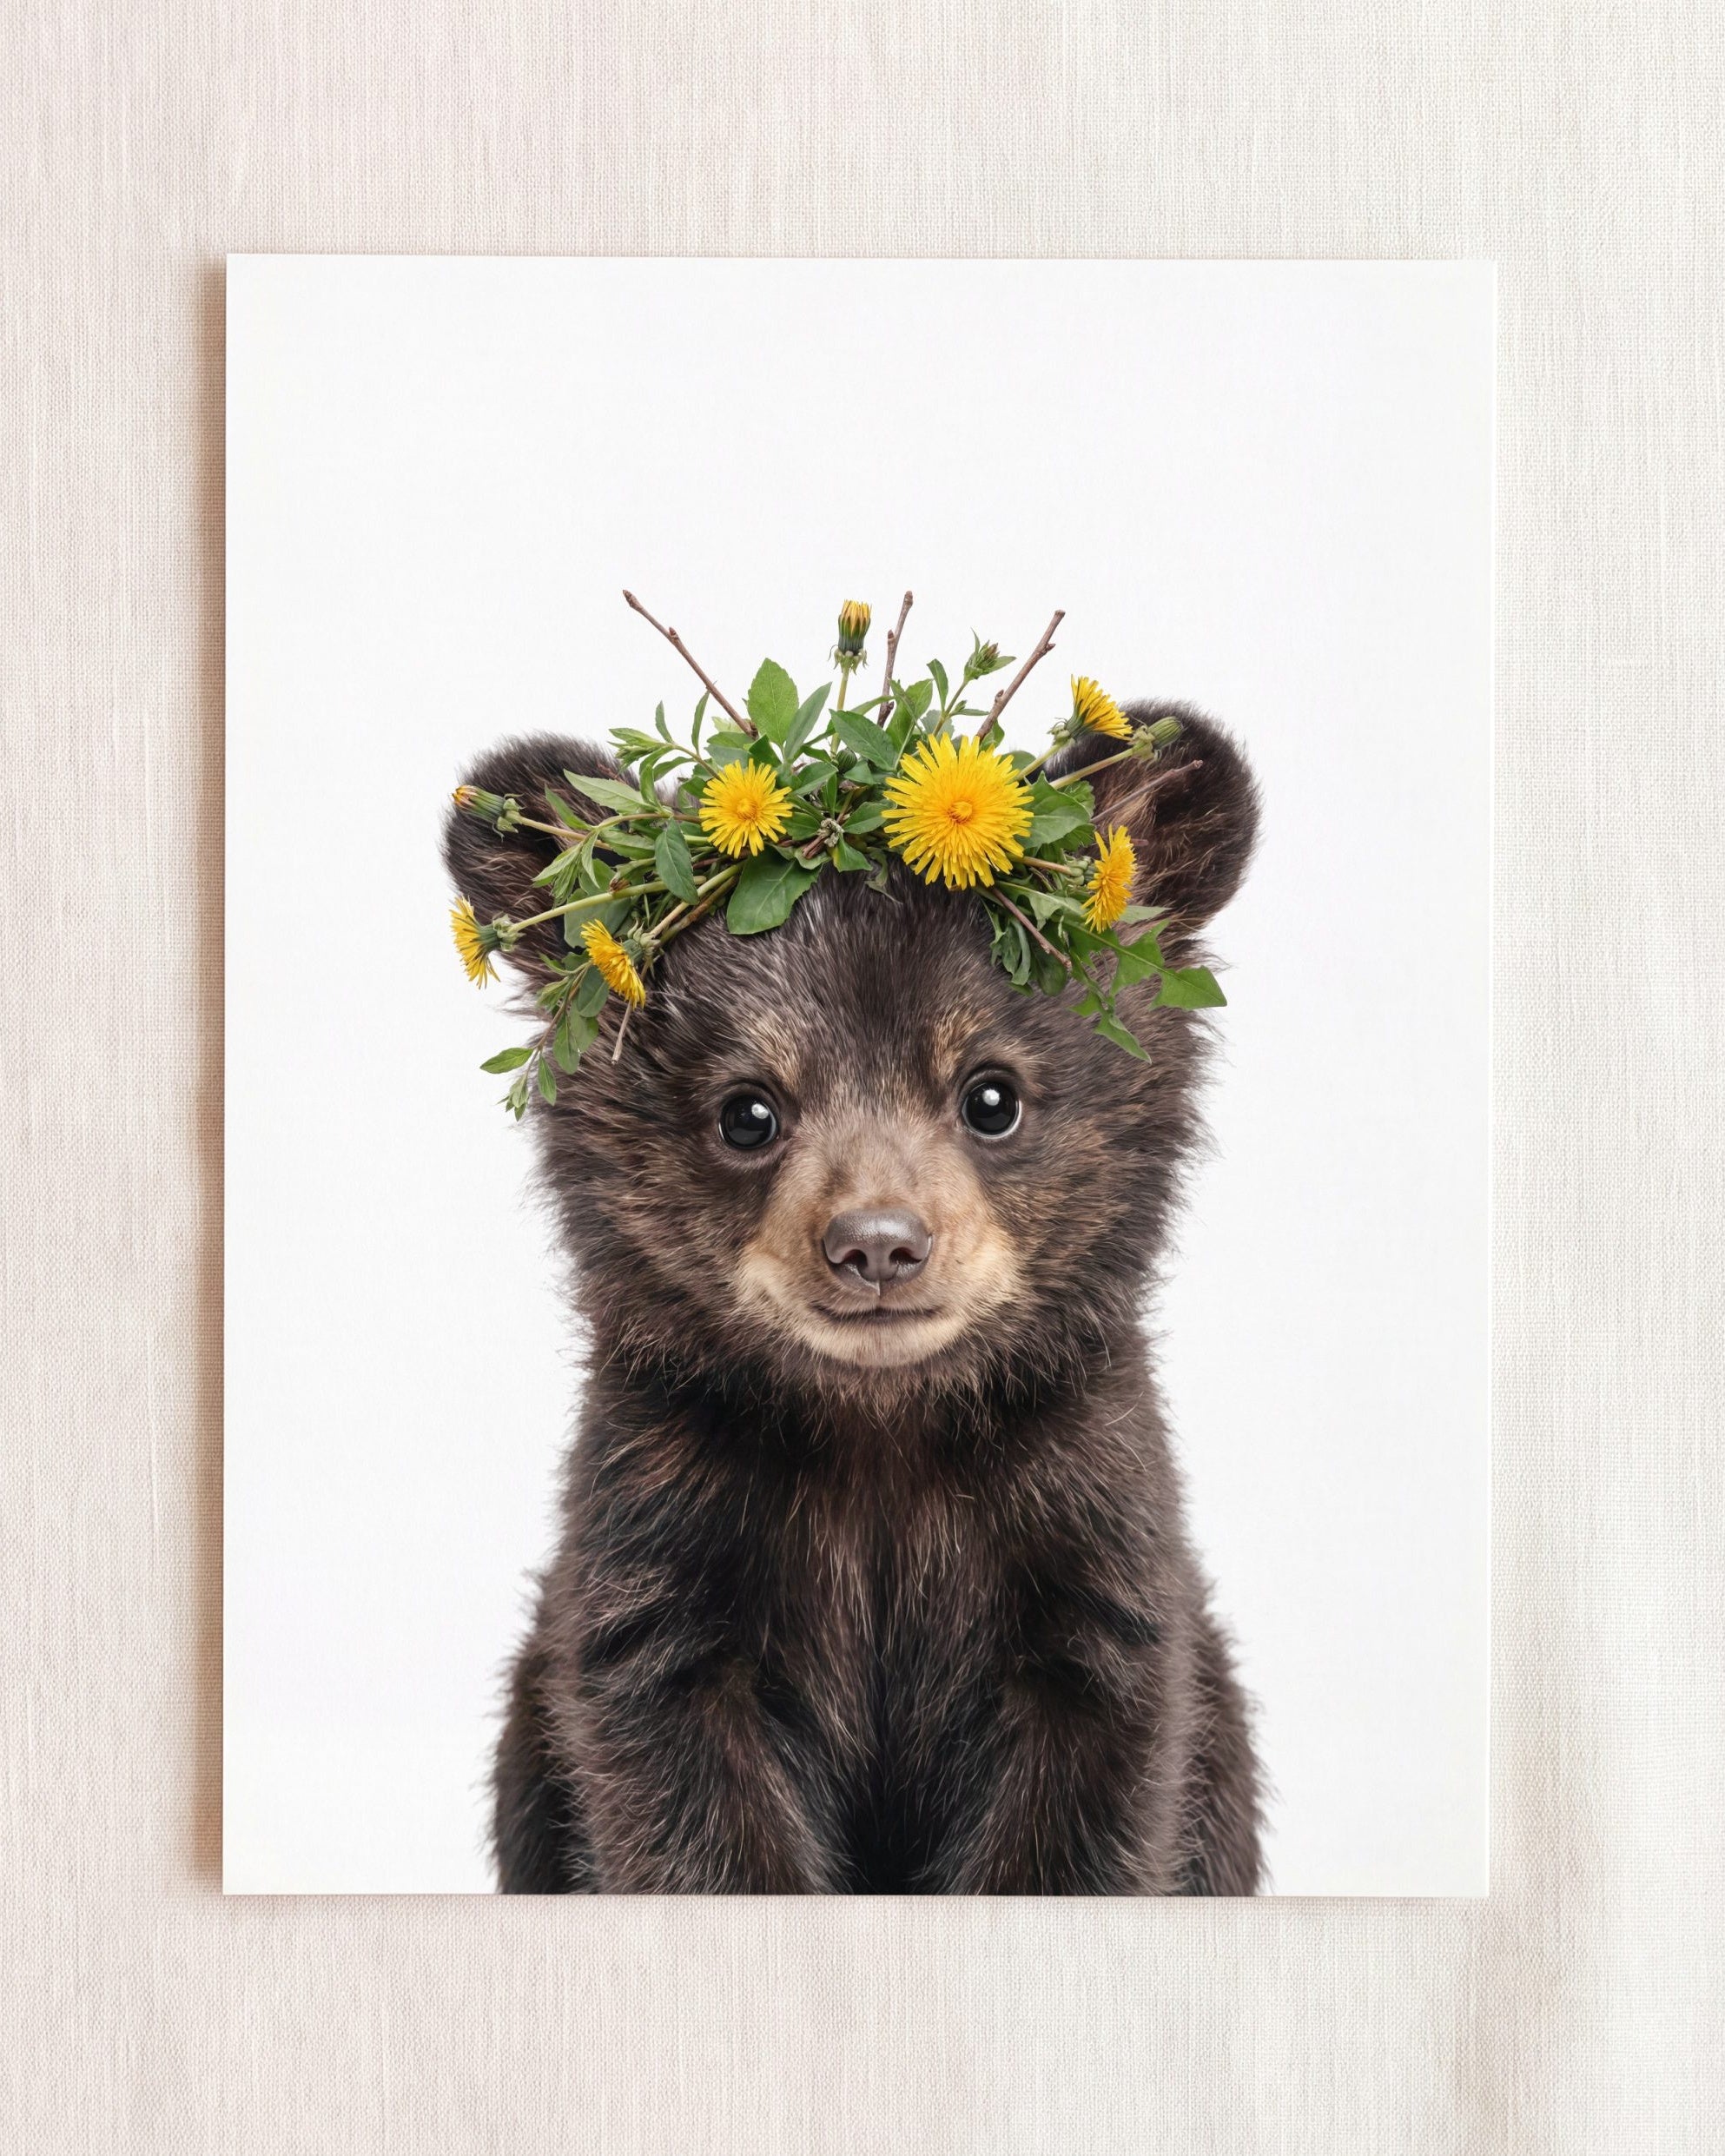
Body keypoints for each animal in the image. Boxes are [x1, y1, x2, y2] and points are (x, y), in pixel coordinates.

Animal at [444, 703, 1265, 1894]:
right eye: (747, 1110)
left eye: (992, 1095)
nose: (878, 1245)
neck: (881, 1434)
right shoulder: (664, 1537)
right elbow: (685, 1801)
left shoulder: (1084, 1534)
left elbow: (1087, 1804)